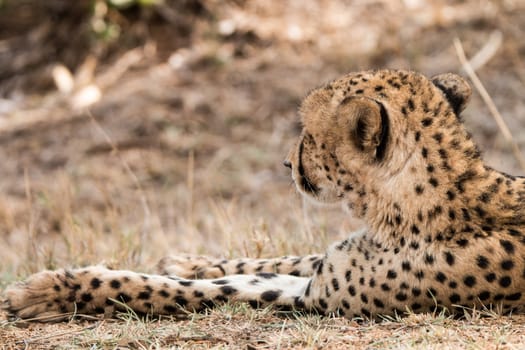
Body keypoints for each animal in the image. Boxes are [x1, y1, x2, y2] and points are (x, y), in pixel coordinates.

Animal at [3, 69, 524, 322]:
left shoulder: (320, 299)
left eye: (308, 135)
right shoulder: (325, 270)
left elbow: (198, 292)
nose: (286, 163)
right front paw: (191, 261)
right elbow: (280, 258)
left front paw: (51, 291)